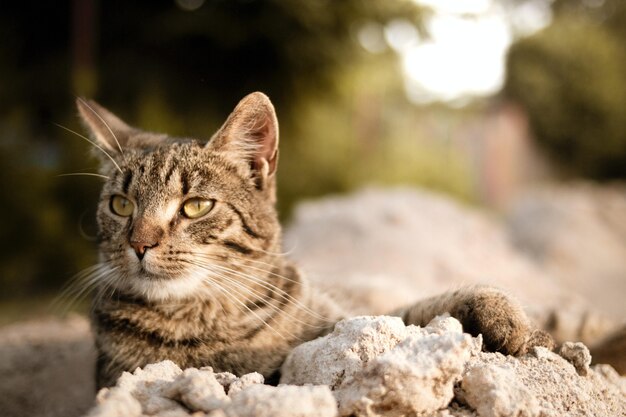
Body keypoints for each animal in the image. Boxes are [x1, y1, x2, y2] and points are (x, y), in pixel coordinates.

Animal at [77, 92, 552, 388]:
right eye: (121, 205)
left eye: (195, 206)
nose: (140, 243)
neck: (204, 317)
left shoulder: (342, 321)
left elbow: (412, 313)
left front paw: (501, 312)